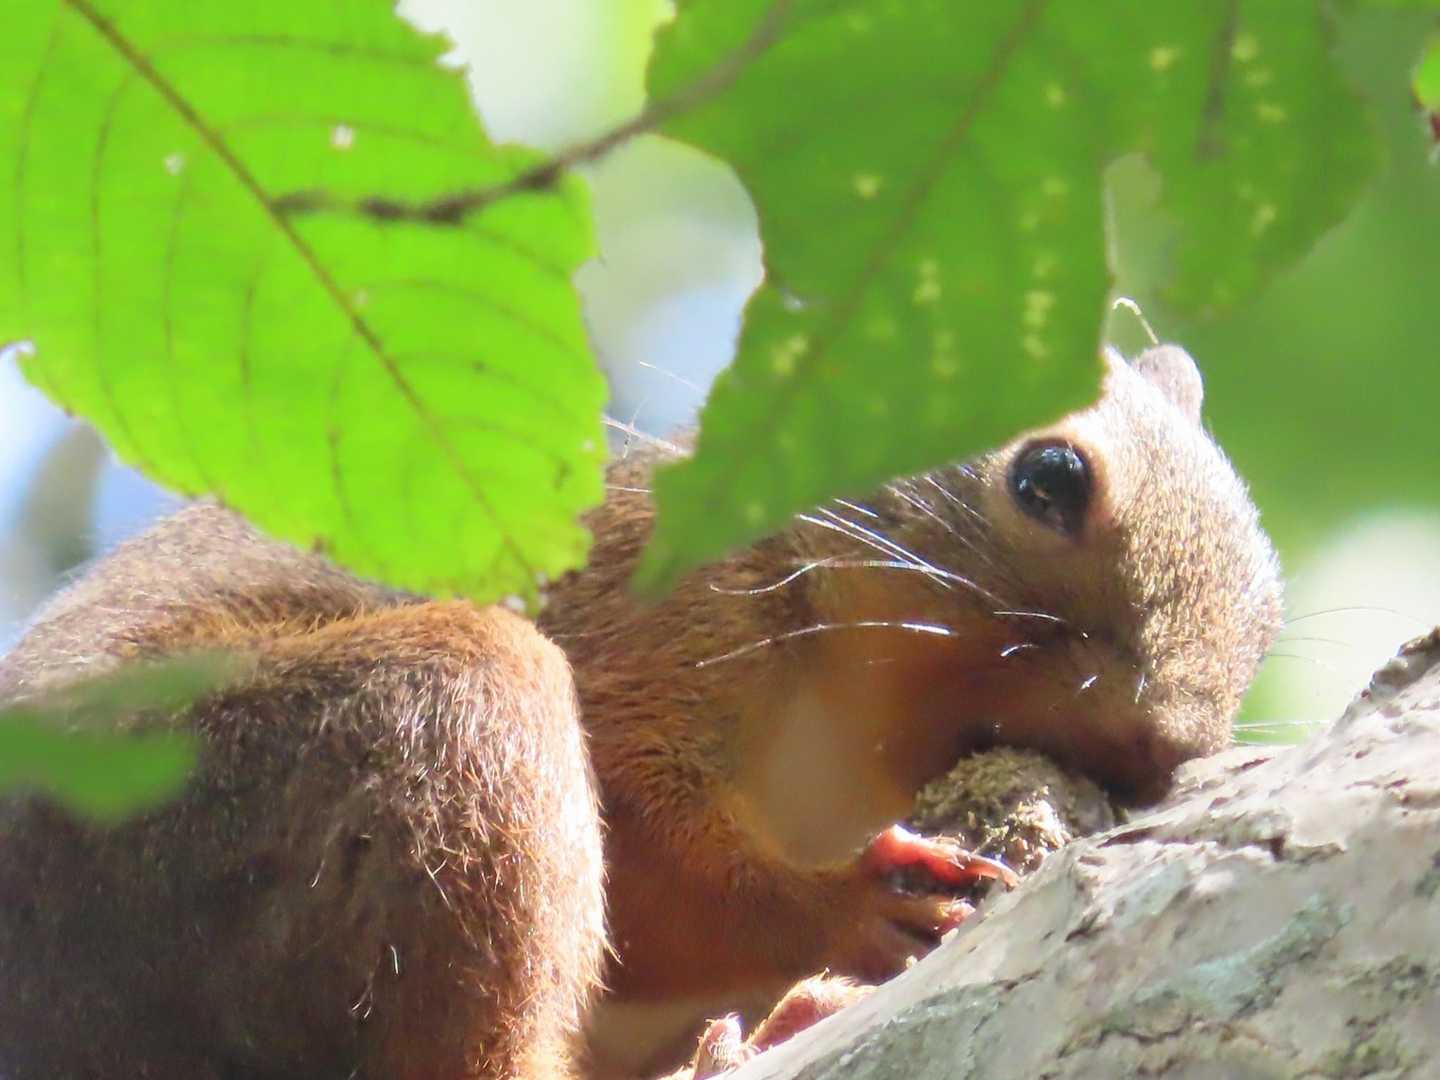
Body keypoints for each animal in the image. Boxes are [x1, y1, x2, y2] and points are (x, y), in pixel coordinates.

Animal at [0, 344, 1282, 1079]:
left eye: (1271, 608)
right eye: (1049, 477)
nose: (1167, 744)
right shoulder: (634, 606)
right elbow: (665, 862)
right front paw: (855, 900)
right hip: (248, 782)